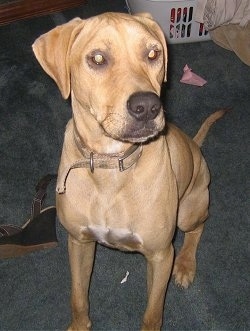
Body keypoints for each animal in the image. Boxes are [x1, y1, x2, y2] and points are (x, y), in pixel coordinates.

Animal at [32, 12, 225, 331]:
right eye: (98, 58)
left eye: (153, 54)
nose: (147, 106)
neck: (112, 164)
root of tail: (195, 147)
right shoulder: (79, 243)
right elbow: (78, 296)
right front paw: (79, 324)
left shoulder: (161, 255)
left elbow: (152, 313)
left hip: (188, 212)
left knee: (198, 228)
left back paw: (186, 266)